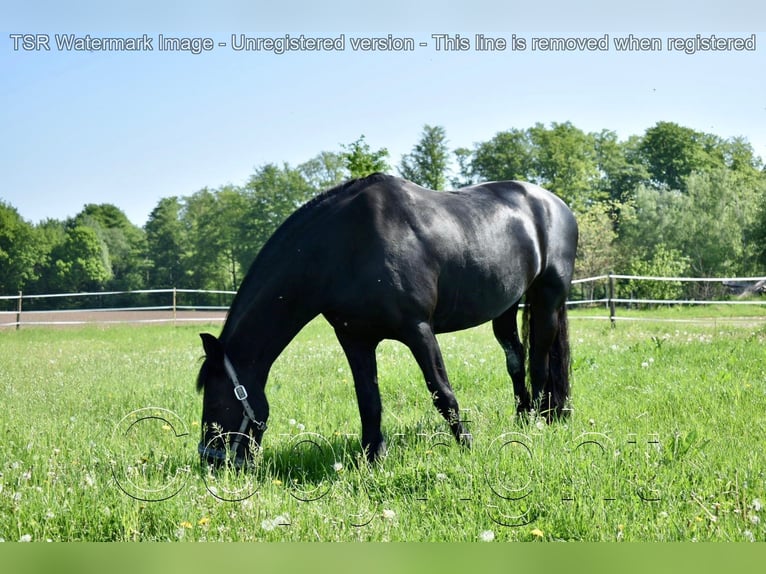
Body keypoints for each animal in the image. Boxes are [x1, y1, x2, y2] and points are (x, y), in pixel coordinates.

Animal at [195, 173, 580, 466]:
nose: (211, 462)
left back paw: (542, 419)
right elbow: (368, 400)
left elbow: (442, 392)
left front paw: (467, 444)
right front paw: (371, 458)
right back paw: (524, 416)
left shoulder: (418, 330)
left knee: (540, 361)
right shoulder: (355, 339)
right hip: (506, 306)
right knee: (515, 359)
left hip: (547, 298)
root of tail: (555, 204)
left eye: (213, 399)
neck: (347, 245)